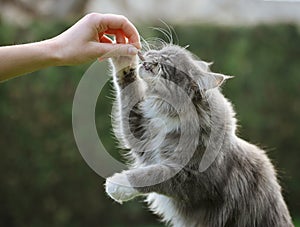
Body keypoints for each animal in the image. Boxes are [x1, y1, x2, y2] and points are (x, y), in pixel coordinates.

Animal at [103, 43, 292, 226]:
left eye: (167, 59)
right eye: (163, 49)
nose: (151, 53)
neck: (170, 117)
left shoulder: (194, 178)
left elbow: (152, 175)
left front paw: (117, 184)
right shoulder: (141, 133)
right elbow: (128, 91)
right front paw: (122, 54)